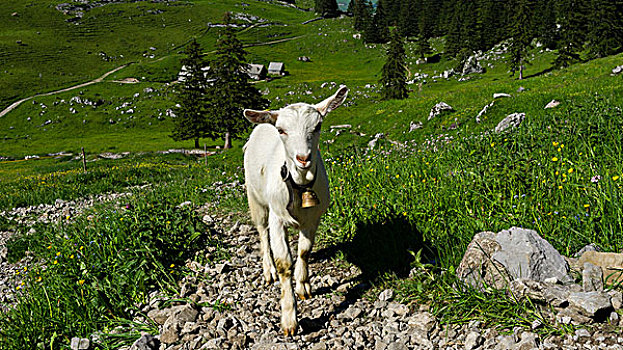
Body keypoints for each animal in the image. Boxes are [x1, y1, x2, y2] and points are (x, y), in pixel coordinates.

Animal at [244, 86, 352, 334]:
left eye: (318, 126)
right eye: (281, 130)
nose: (303, 158)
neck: (299, 184)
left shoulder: (313, 219)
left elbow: (304, 251)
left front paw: (303, 286)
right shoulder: (277, 217)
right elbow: (284, 262)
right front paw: (289, 319)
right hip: (255, 199)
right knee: (262, 232)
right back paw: (268, 271)